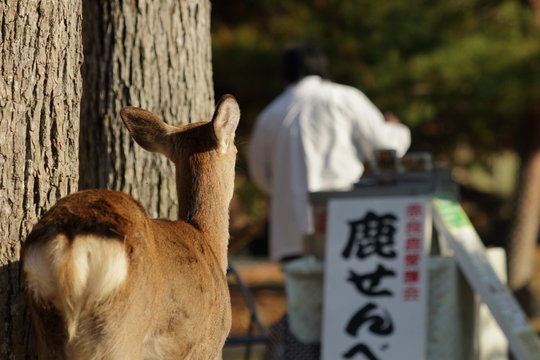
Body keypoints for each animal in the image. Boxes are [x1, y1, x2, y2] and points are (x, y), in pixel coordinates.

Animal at [21, 94, 239, 358]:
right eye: (236, 150)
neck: (207, 238)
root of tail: (71, 252)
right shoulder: (207, 345)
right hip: (121, 332)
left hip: (46, 328)